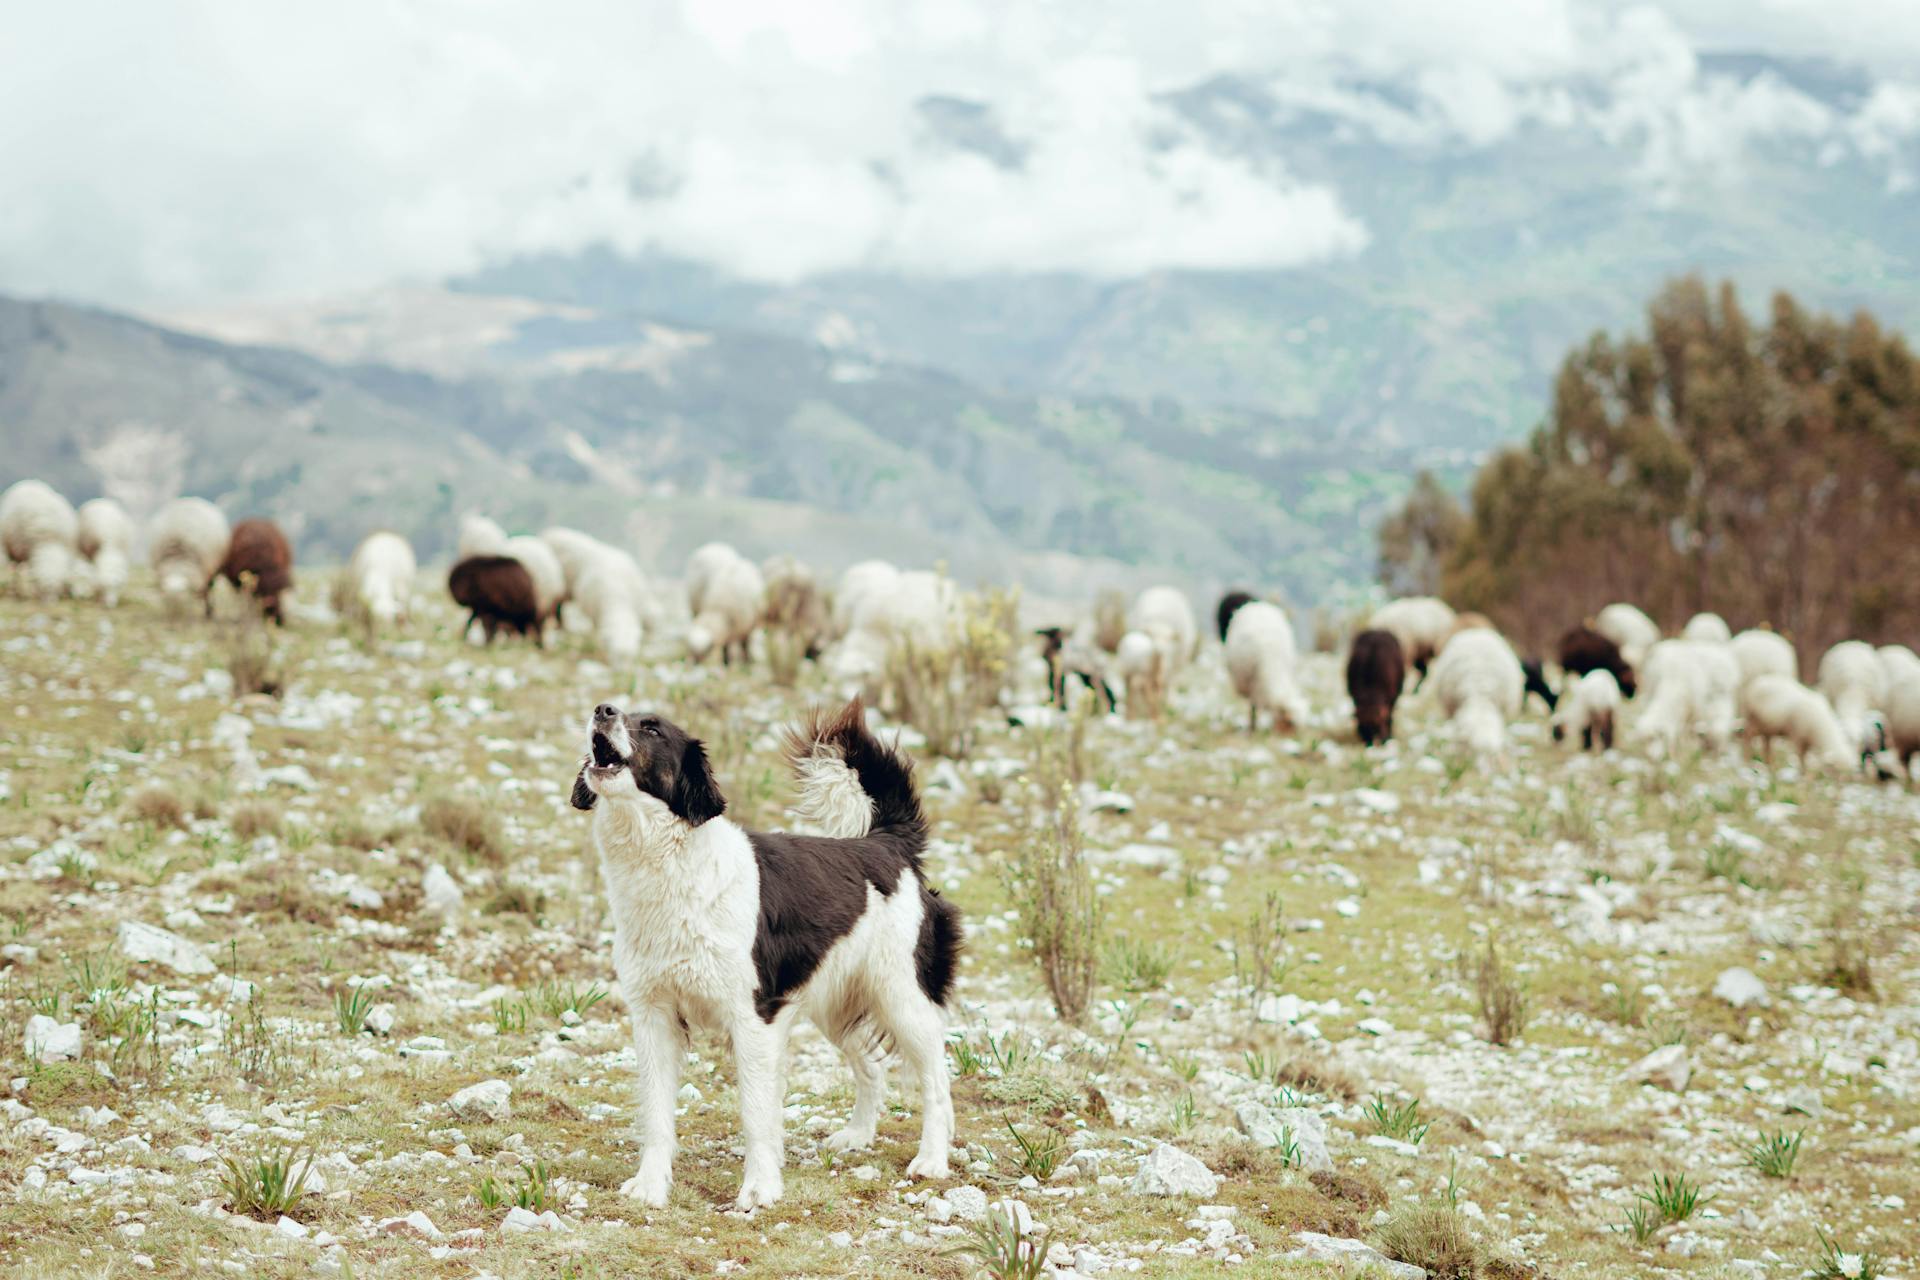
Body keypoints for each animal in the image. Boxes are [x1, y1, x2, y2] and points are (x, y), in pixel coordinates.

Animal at [568, 702, 960, 1212]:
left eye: (652, 728)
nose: (602, 710)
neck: (673, 864)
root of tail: (884, 842)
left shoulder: (752, 1018)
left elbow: (755, 1111)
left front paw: (759, 1188)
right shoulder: (654, 1015)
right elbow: (655, 1110)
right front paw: (652, 1186)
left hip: (902, 998)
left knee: (936, 1079)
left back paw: (932, 1159)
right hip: (837, 1004)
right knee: (872, 1067)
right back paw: (857, 1135)